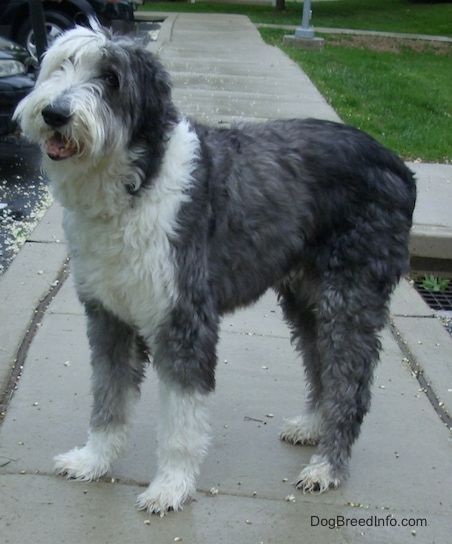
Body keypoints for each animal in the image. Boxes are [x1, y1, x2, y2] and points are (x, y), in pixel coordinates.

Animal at [14, 24, 416, 516]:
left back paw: (327, 467)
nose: (54, 113)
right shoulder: (109, 316)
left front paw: (170, 486)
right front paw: (94, 460)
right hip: (308, 299)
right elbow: (110, 397)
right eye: (62, 64)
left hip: (350, 296)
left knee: (351, 382)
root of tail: (398, 163)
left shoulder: (185, 318)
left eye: (111, 78)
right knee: (321, 360)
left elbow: (181, 420)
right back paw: (312, 426)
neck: (139, 184)